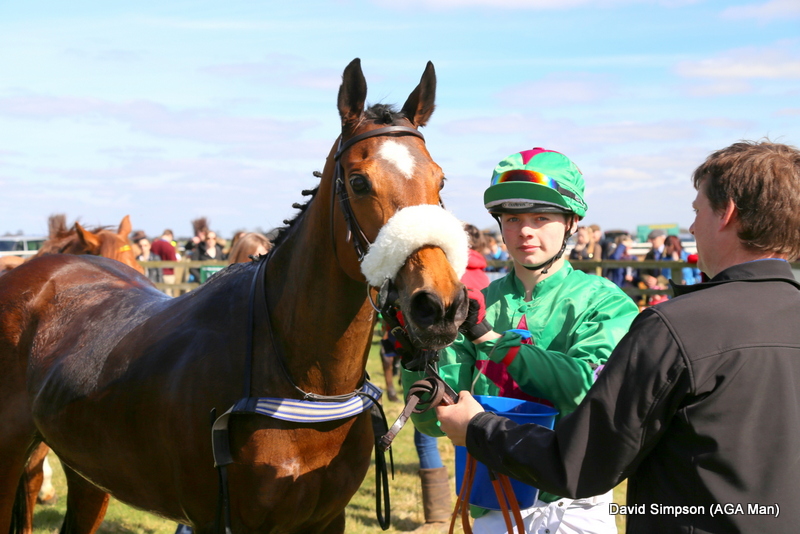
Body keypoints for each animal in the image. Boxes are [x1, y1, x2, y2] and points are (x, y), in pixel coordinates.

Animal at [0, 58, 467, 534]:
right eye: (358, 182)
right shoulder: (219, 519)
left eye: (439, 179)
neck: (300, 382)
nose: (440, 306)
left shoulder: (326, 517)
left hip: (89, 471)